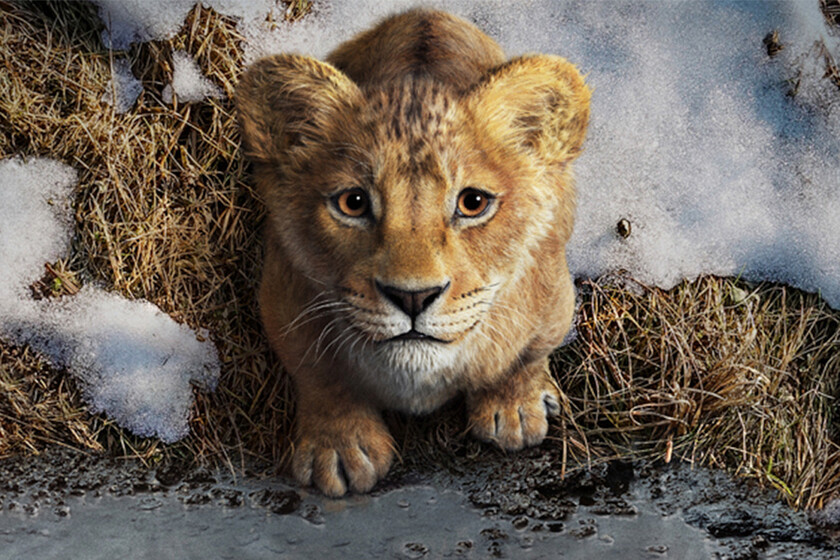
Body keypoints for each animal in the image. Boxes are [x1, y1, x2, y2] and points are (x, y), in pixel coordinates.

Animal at [236, 9, 590, 497]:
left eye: (473, 203)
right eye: (353, 203)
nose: (412, 297)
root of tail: (426, 13)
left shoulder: (553, 297)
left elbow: (525, 356)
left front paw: (514, 410)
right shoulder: (282, 298)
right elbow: (320, 375)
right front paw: (339, 448)